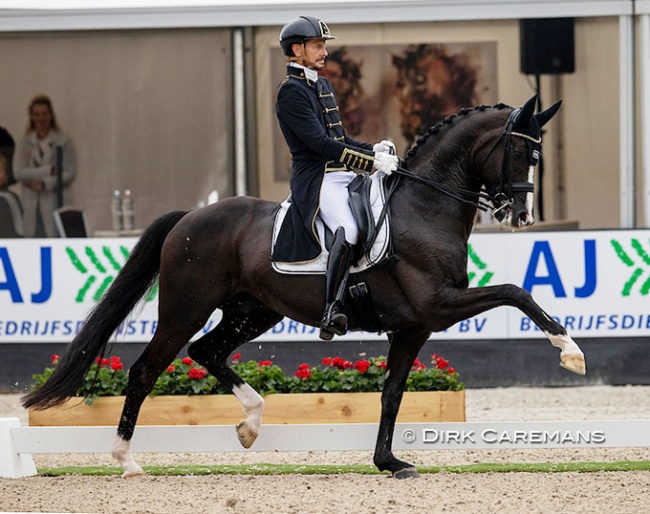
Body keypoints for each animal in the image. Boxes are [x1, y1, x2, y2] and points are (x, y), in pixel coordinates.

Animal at [22, 95, 584, 476]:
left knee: (208, 351)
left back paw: (251, 423)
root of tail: (191, 217)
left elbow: (391, 393)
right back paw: (126, 460)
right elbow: (516, 291)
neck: (425, 209)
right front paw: (569, 350)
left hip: (254, 310)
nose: (522, 217)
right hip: (185, 309)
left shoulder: (414, 326)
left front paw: (388, 462)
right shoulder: (437, 306)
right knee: (146, 369)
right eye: (522, 155)